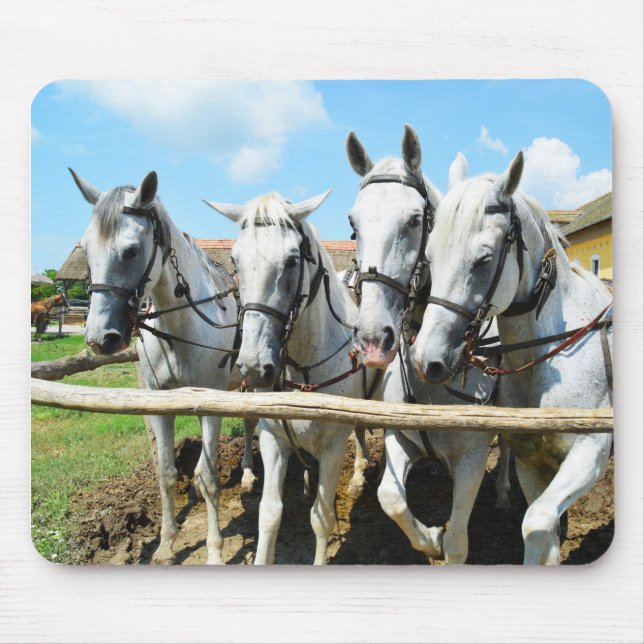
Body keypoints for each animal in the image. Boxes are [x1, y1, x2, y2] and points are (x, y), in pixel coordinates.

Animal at [69, 168, 257, 565]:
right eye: (86, 249)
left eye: (131, 250)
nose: (100, 337)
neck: (179, 328)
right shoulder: (159, 402)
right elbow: (167, 473)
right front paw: (167, 545)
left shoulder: (210, 404)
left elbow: (208, 477)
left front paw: (215, 551)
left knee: (251, 422)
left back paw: (249, 476)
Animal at [205, 190, 382, 565]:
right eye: (234, 261)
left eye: (290, 261)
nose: (255, 366)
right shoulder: (274, 441)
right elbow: (269, 514)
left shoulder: (333, 448)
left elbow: (322, 517)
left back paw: (359, 476)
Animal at [345, 124, 509, 564]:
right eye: (353, 223)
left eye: (415, 220)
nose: (373, 338)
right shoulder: (399, 438)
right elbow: (390, 498)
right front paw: (429, 537)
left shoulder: (471, 459)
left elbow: (457, 542)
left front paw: (442, 540)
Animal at [413, 150, 613, 564]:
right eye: (431, 257)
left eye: (483, 260)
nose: (428, 360)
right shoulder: (530, 462)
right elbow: (544, 533)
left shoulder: (591, 452)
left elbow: (536, 522)